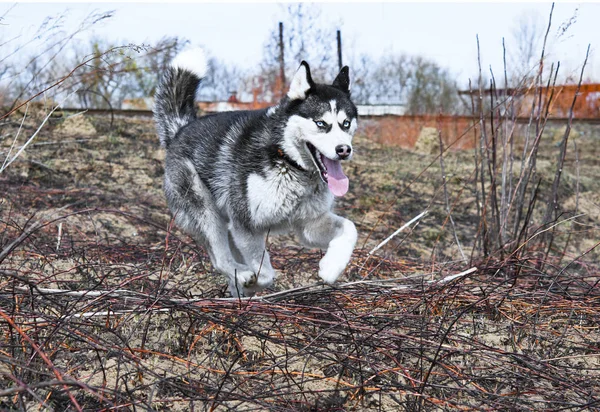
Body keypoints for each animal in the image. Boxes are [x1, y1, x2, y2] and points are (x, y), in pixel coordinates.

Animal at [155, 49, 358, 296]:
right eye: (321, 123)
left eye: (346, 123)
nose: (344, 150)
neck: (288, 162)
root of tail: (180, 131)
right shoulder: (246, 226)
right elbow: (265, 274)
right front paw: (252, 281)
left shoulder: (308, 225)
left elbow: (350, 228)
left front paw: (331, 267)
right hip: (206, 212)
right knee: (219, 259)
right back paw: (241, 276)